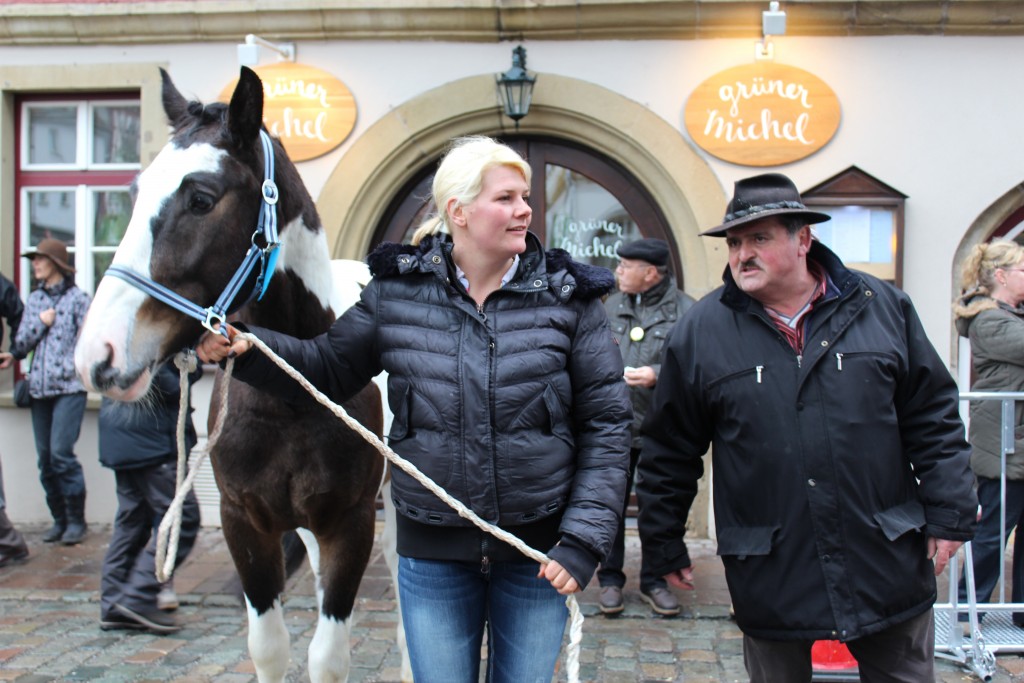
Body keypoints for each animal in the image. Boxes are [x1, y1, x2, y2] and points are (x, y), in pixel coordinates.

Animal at [74, 65, 407, 683]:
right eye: (131, 195)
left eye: (201, 199)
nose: (97, 355)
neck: (291, 396)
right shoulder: (244, 524)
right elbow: (268, 647)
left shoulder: (349, 523)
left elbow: (328, 656)